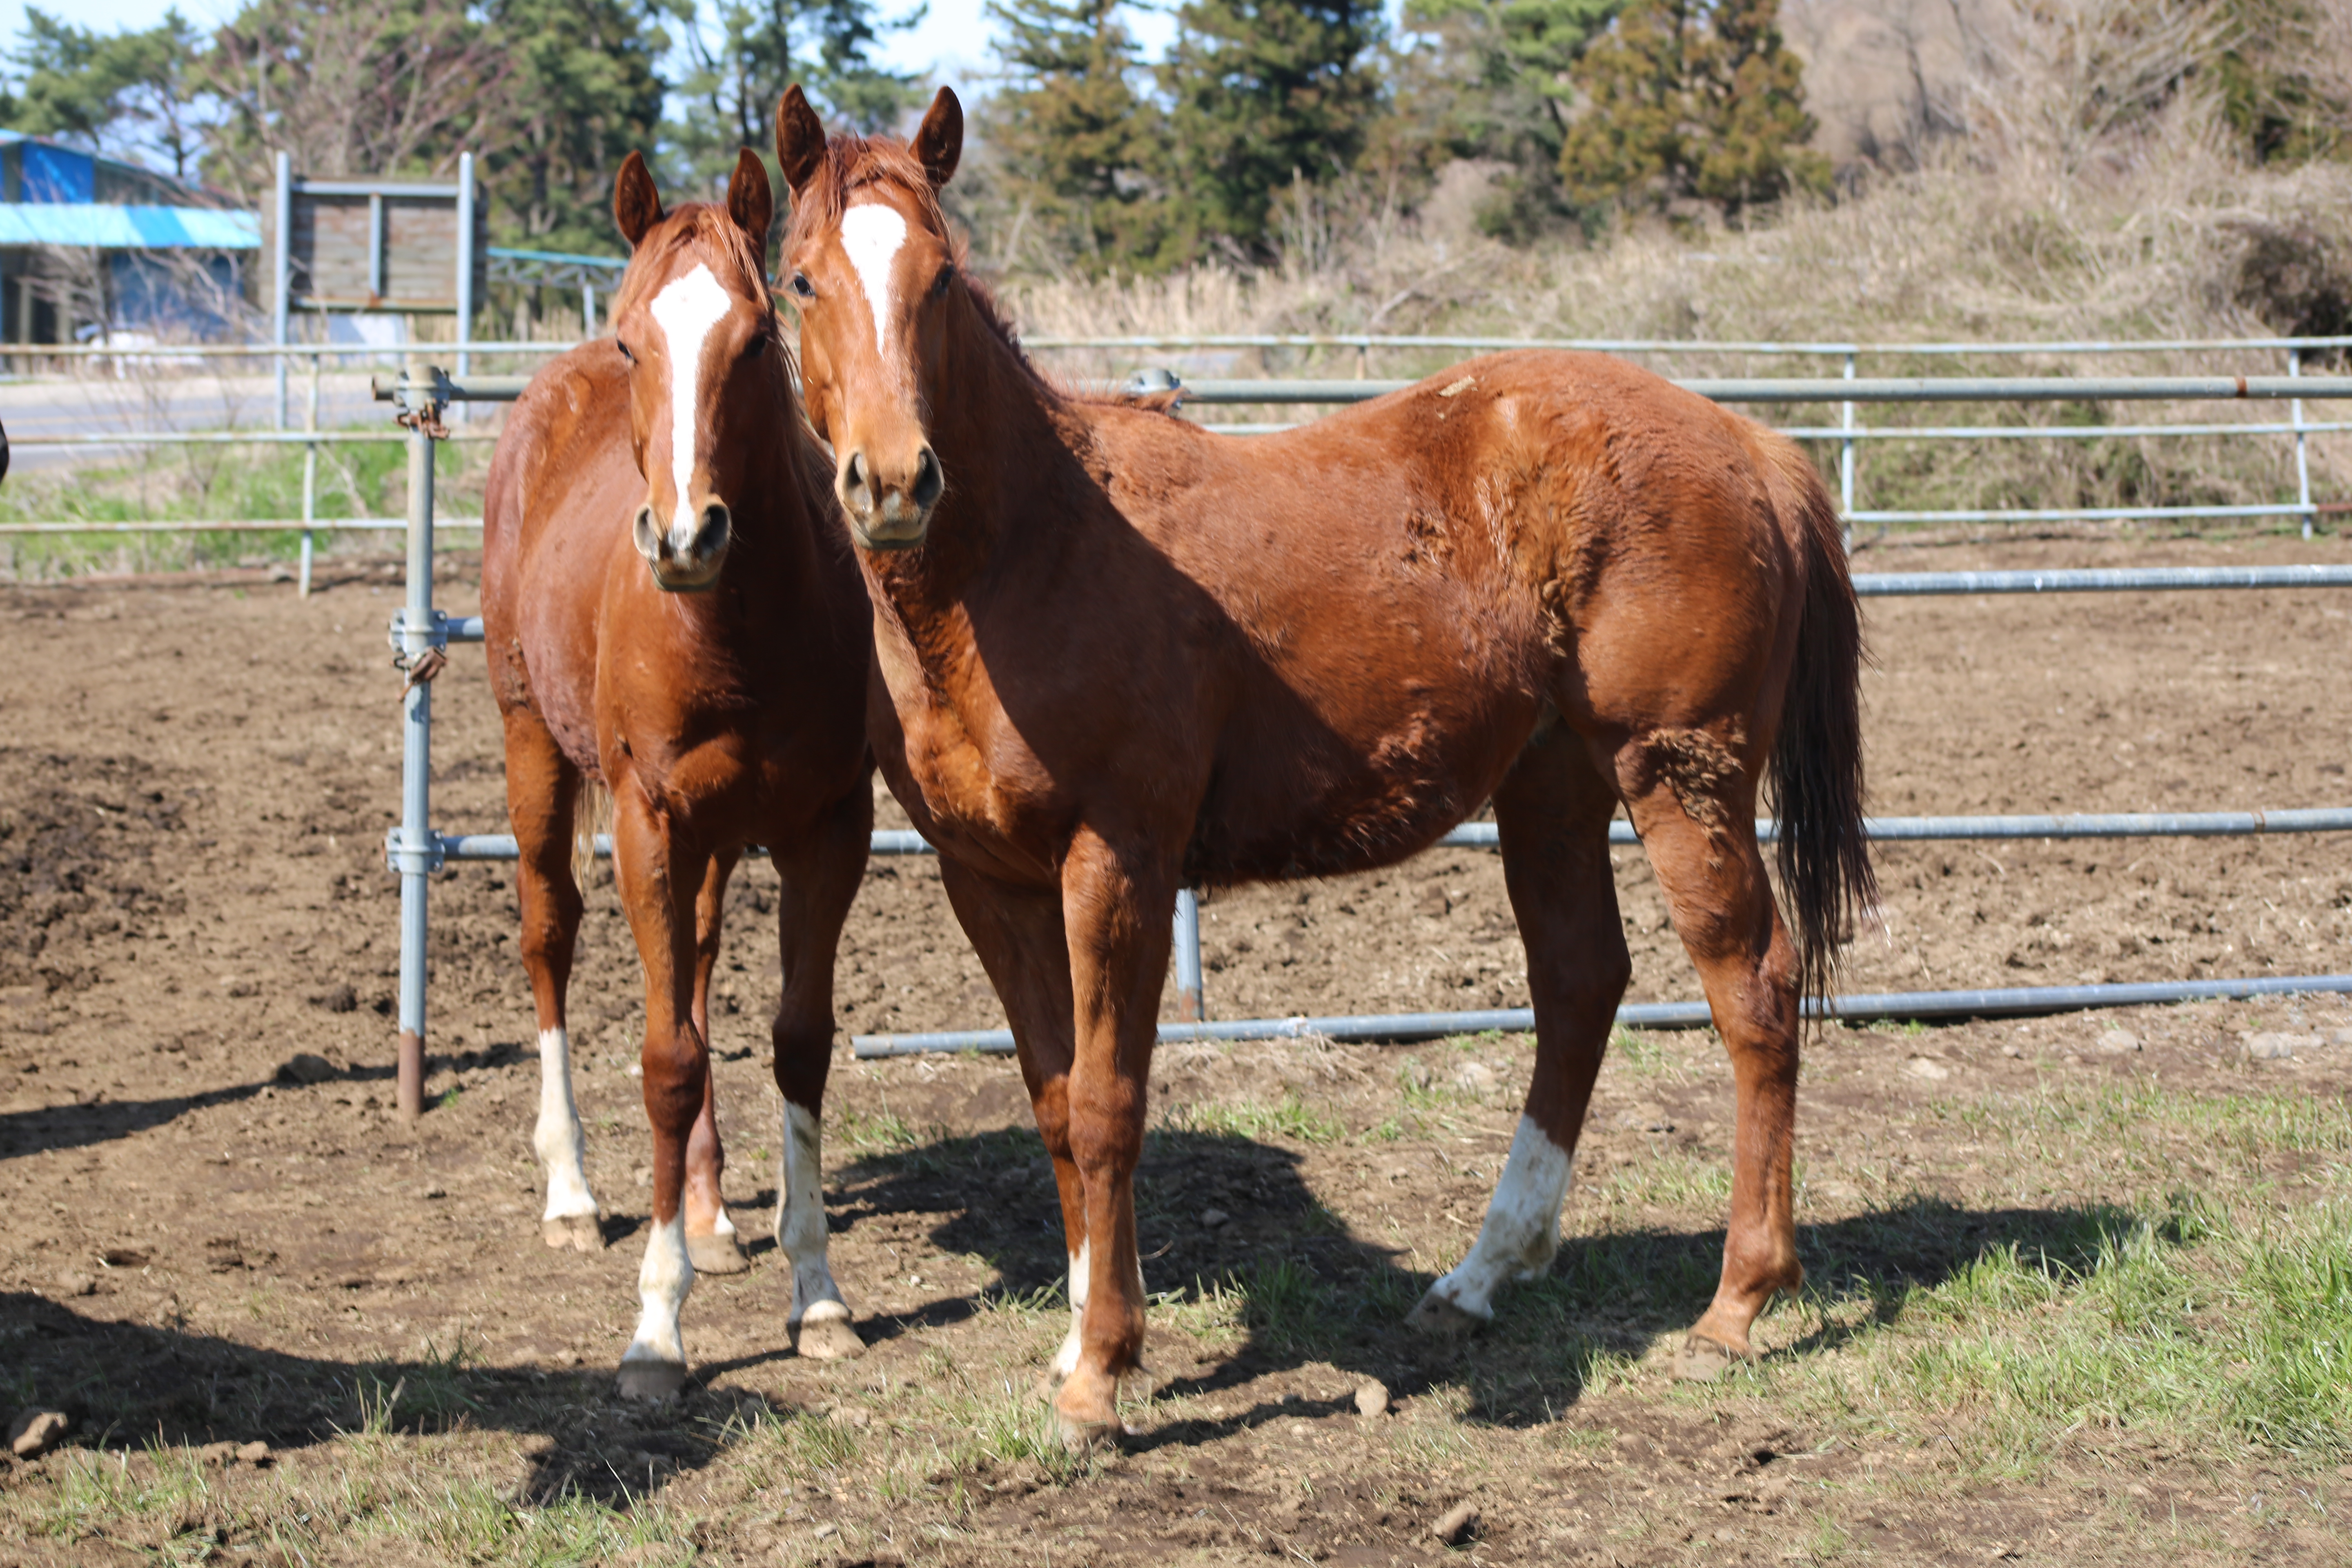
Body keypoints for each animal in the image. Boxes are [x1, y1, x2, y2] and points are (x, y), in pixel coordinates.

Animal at [477, 147, 875, 1401]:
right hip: (533, 748)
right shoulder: (649, 821)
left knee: (693, 964)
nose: (685, 536)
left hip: (710, 836)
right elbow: (665, 1060)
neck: (733, 630)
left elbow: (793, 1043)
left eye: (753, 338)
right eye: (628, 342)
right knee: (549, 937)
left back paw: (707, 1215)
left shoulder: (825, 826)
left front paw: (818, 1292)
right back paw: (571, 1192)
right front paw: (657, 1322)